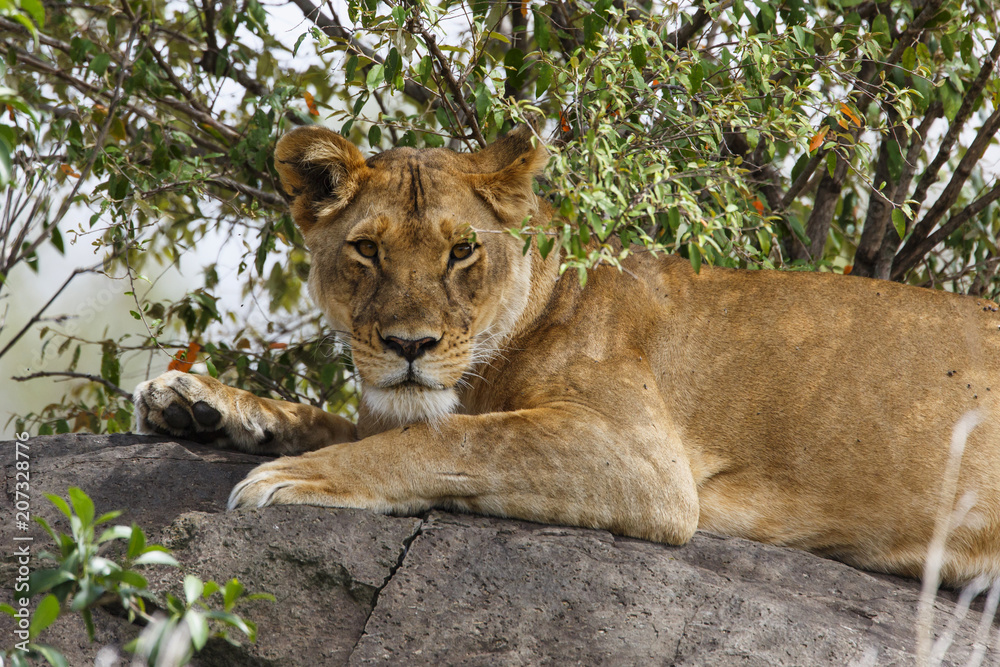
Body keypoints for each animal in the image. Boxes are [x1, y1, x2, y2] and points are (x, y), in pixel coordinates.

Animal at [134, 125, 1000, 585]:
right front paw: (196, 402)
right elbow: (347, 418)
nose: (410, 346)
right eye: (367, 250)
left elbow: (446, 441)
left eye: (461, 250)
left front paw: (288, 476)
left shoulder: (642, 458)